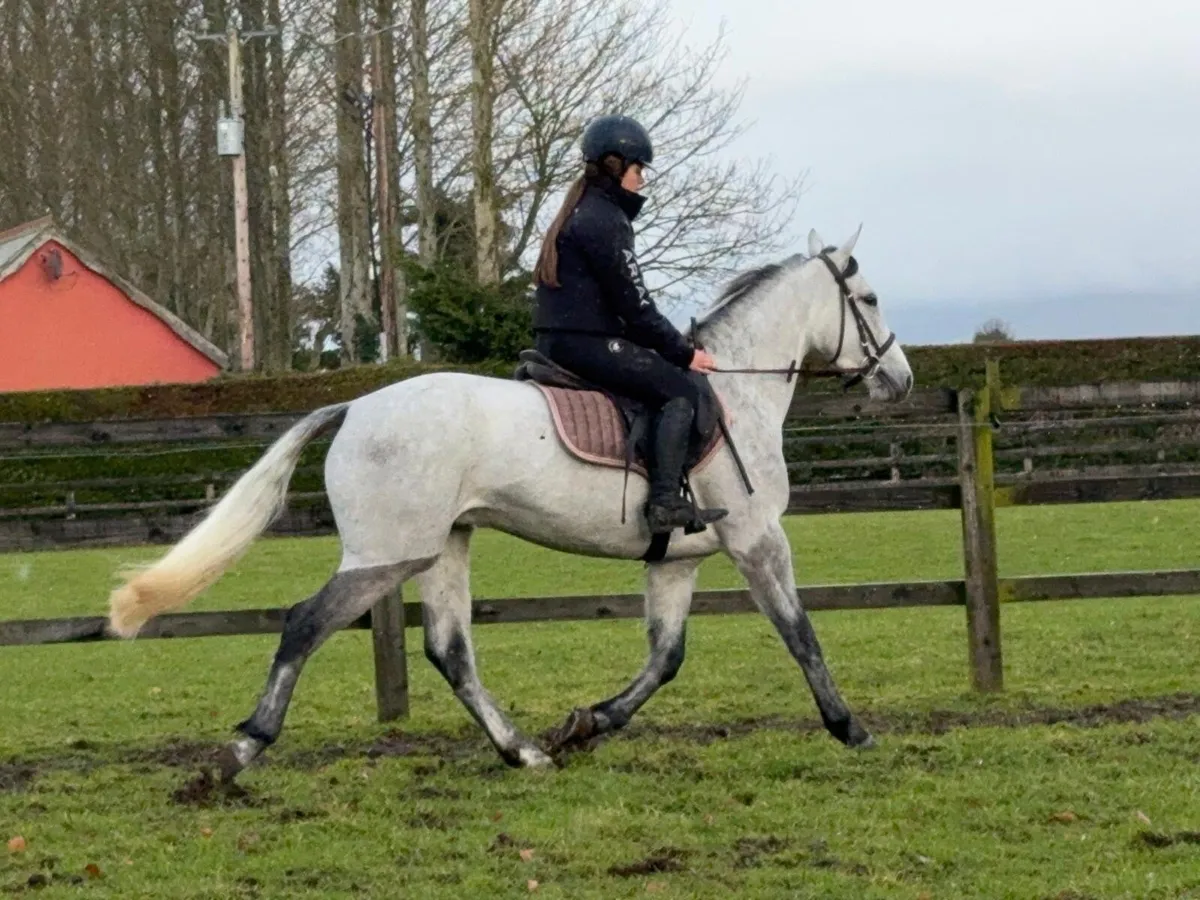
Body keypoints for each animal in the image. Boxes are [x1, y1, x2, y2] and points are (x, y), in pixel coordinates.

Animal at [106, 226, 913, 780]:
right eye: (870, 300)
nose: (900, 380)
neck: (737, 394)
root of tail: (356, 406)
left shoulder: (676, 560)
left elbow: (665, 658)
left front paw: (586, 725)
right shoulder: (756, 538)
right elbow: (799, 633)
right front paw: (850, 728)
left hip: (442, 547)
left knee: (449, 650)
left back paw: (523, 751)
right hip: (388, 554)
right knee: (306, 623)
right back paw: (240, 751)